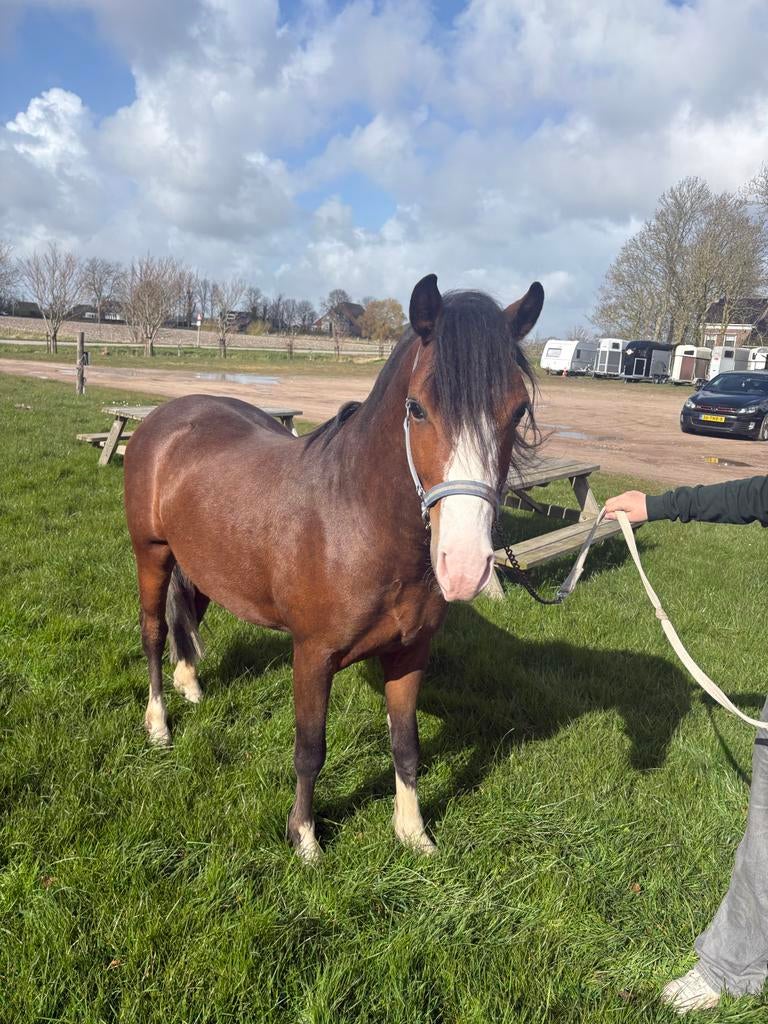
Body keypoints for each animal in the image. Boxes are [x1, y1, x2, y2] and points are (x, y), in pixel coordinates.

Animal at [123, 273, 543, 862]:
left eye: (518, 410)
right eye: (417, 408)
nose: (463, 566)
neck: (358, 523)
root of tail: (164, 418)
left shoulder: (410, 654)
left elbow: (406, 745)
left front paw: (413, 833)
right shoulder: (313, 657)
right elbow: (309, 749)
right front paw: (304, 839)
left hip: (200, 562)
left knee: (188, 615)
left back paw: (190, 684)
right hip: (152, 554)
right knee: (155, 632)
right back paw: (159, 724)